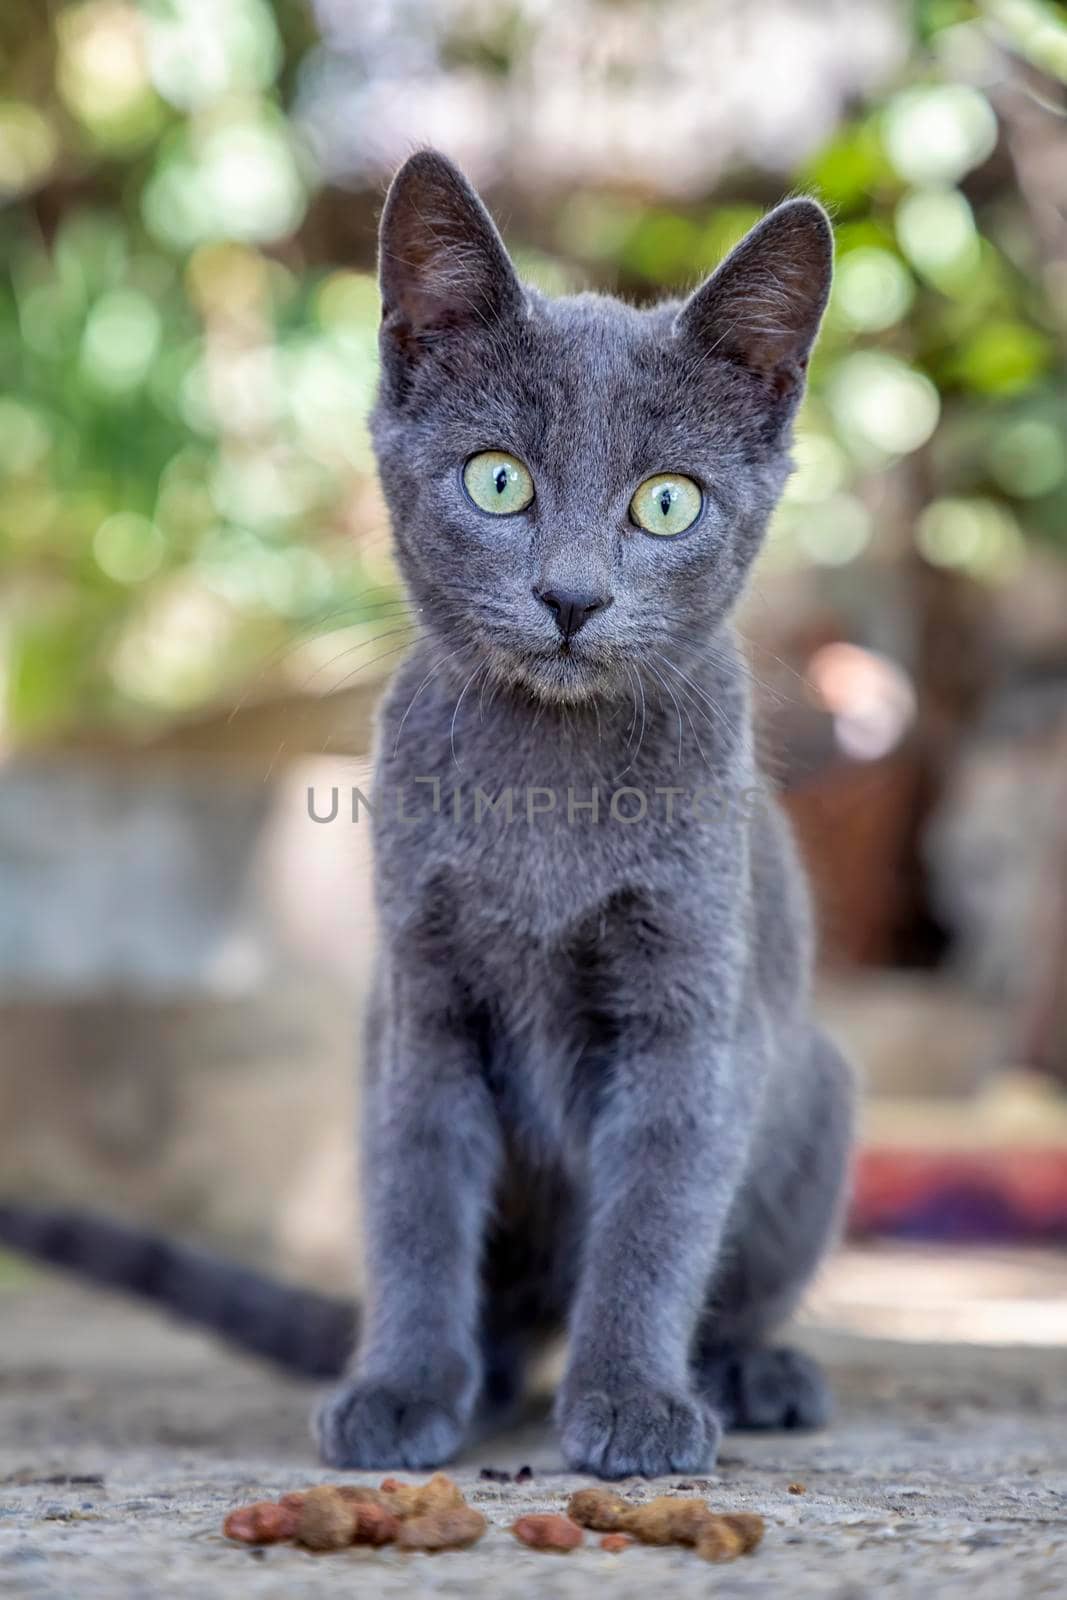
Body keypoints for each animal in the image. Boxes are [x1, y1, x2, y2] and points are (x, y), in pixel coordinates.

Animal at [0, 147, 851, 1472]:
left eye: (666, 503)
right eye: (497, 481)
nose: (570, 597)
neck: (542, 784)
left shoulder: (688, 1007)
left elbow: (655, 1220)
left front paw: (630, 1400)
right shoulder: (422, 998)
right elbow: (415, 1203)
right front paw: (401, 1386)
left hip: (815, 1090)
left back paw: (748, 1370)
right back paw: (485, 1373)